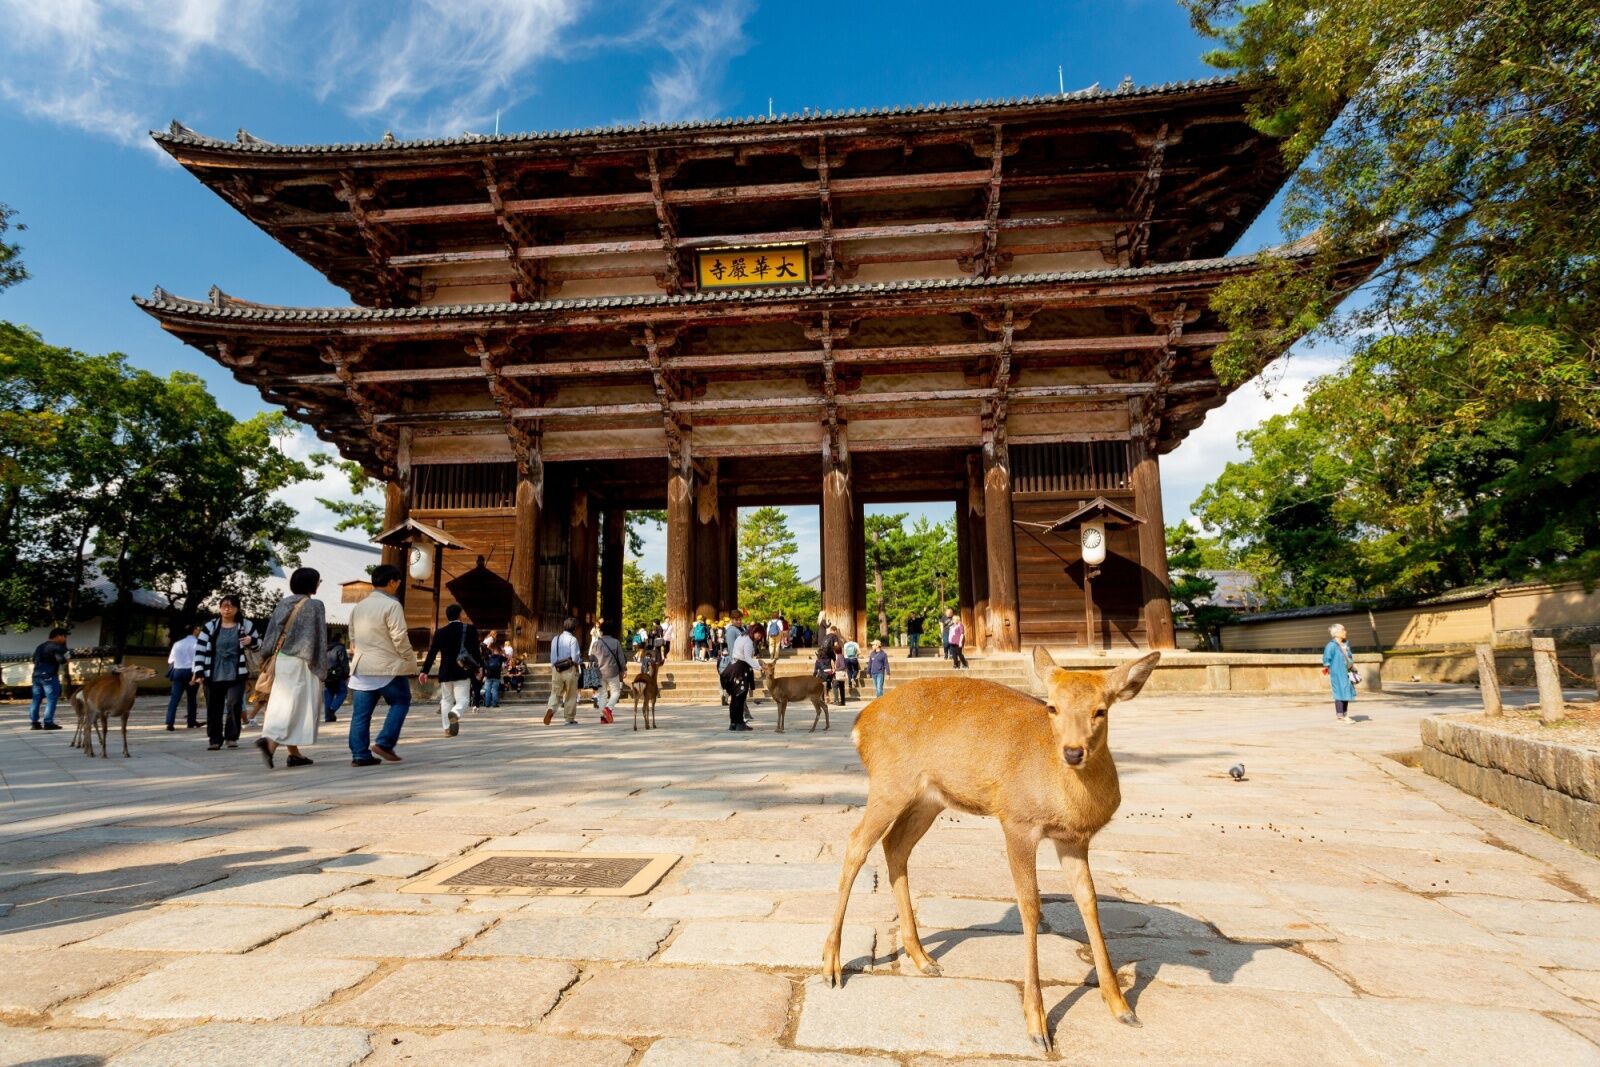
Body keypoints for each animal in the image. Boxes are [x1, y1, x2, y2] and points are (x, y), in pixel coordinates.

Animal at [825, 646, 1164, 1049]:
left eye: (1101, 709)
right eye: (1052, 707)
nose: (1073, 752)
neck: (1071, 804)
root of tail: (860, 724)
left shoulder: (1073, 841)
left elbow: (1089, 903)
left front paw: (1122, 1008)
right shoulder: (1017, 822)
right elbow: (1030, 907)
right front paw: (1037, 1026)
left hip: (930, 799)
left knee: (895, 845)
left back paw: (923, 959)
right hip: (889, 784)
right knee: (856, 844)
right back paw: (831, 966)